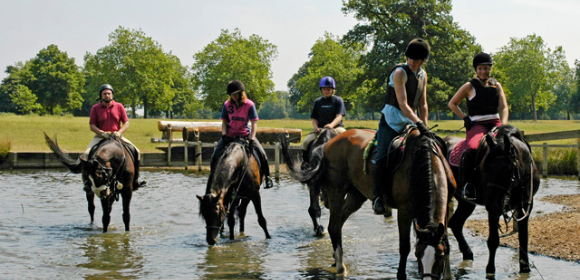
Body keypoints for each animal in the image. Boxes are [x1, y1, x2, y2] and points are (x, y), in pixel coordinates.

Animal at [282, 130, 458, 280]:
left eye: (440, 256)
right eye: (418, 254)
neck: (424, 162)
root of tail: (329, 143)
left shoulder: (446, 206)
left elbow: (446, 242)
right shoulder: (404, 211)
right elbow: (404, 246)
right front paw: (401, 275)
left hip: (356, 195)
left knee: (339, 223)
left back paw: (335, 258)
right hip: (336, 191)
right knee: (333, 226)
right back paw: (340, 266)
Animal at [444, 125, 544, 276]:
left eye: (507, 169)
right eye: (485, 167)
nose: (491, 204)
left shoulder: (525, 206)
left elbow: (523, 238)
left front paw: (525, 268)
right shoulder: (494, 210)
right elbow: (493, 240)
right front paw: (490, 270)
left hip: (466, 203)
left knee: (455, 223)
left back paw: (467, 254)